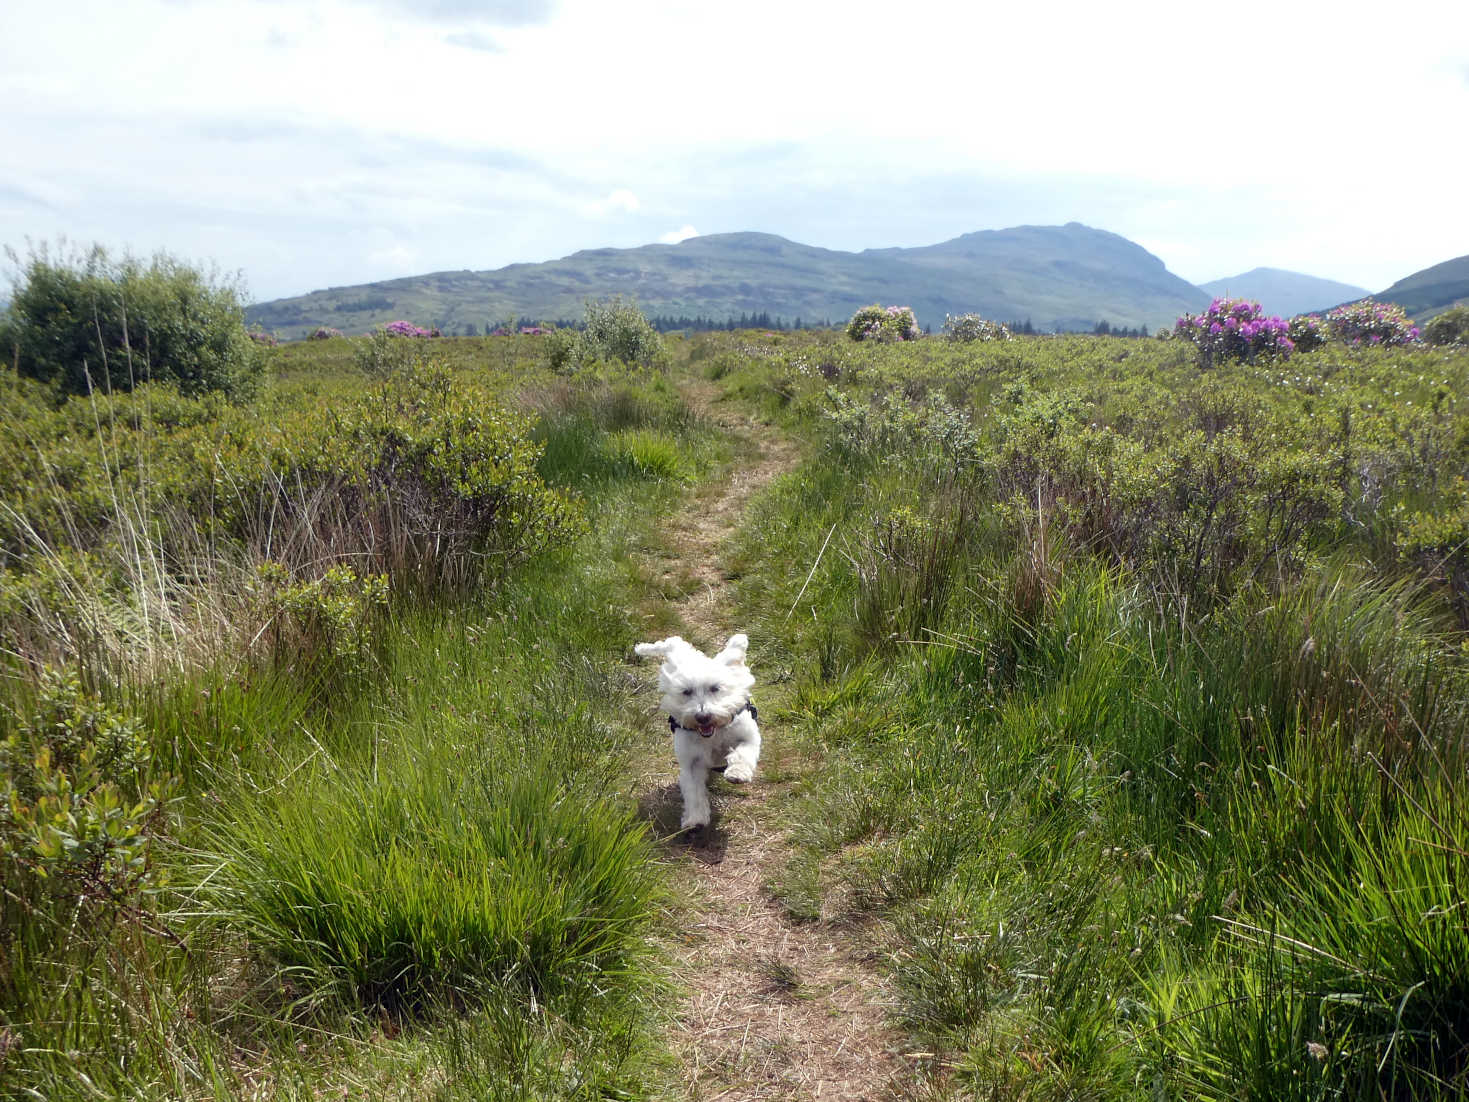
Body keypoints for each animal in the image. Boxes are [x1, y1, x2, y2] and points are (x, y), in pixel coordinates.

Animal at [634, 634, 763, 834]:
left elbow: (742, 752)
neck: (713, 733)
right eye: (686, 691)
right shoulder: (692, 762)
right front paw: (695, 819)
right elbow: (694, 792)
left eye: (715, 688)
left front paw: (737, 773)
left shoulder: (748, 736)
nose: (702, 717)